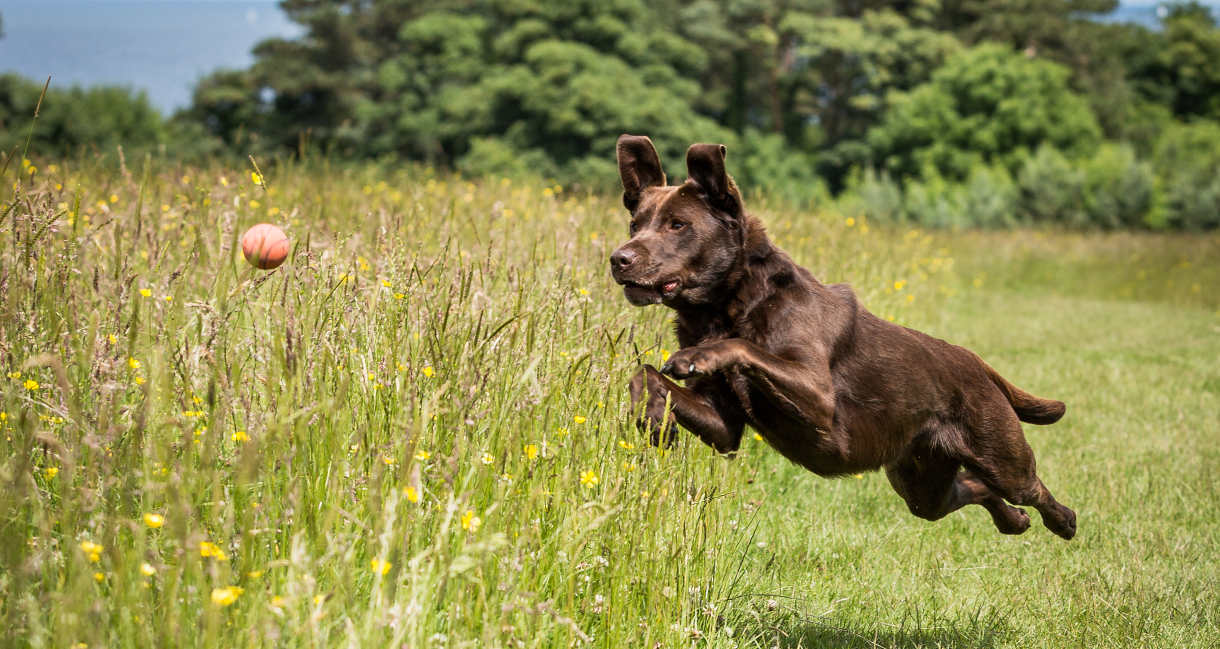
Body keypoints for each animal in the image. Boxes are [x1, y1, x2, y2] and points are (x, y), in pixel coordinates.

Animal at [610, 134, 1078, 539]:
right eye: (635, 224)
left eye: (677, 225)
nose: (619, 258)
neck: (727, 305)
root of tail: (977, 363)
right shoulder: (724, 428)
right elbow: (644, 373)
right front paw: (654, 420)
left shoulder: (817, 395)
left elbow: (741, 346)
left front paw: (698, 357)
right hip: (920, 482)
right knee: (973, 488)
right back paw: (1014, 521)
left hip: (999, 454)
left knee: (1029, 485)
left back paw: (1063, 521)